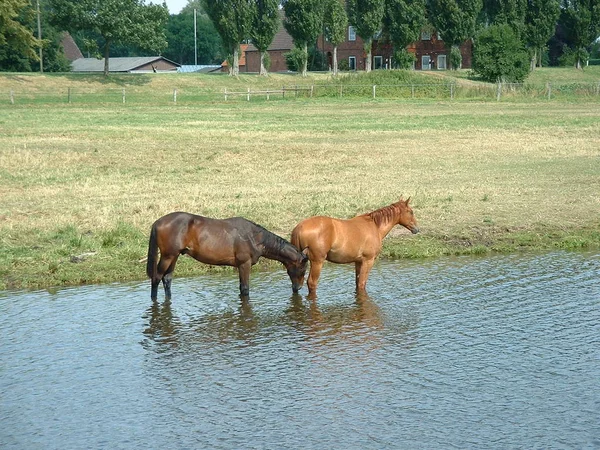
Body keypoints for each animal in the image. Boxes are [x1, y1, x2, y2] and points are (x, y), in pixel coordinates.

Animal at [146, 213, 308, 300]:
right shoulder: (244, 264)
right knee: (156, 278)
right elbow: (245, 289)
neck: (254, 237)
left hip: (174, 256)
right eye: (303, 269)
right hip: (167, 256)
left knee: (167, 279)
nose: (297, 288)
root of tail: (157, 222)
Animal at [290, 198, 418, 298]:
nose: (417, 229)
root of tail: (300, 227)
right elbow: (362, 284)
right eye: (410, 212)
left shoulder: (358, 262)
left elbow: (357, 283)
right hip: (317, 262)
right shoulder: (368, 261)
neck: (375, 226)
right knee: (312, 283)